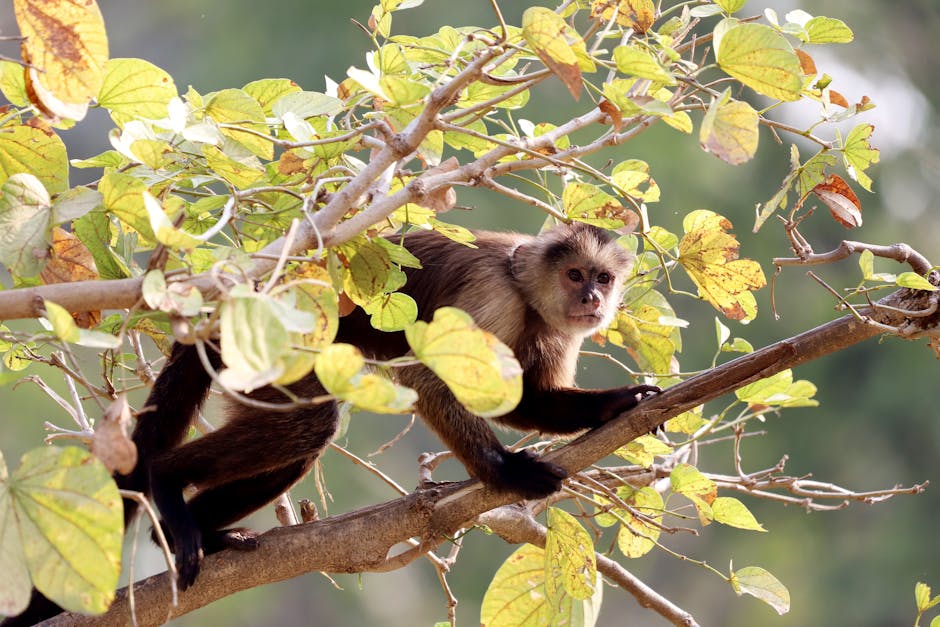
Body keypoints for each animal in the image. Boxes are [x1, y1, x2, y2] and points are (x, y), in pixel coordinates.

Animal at [3, 223, 656, 624]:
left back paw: (206, 531)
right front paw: (505, 473)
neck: (528, 295)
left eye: (603, 279)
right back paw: (166, 483)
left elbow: (525, 400)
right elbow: (430, 382)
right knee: (308, 425)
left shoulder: (557, 330)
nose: (594, 300)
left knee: (299, 440)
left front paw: (618, 406)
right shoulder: (492, 296)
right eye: (576, 276)